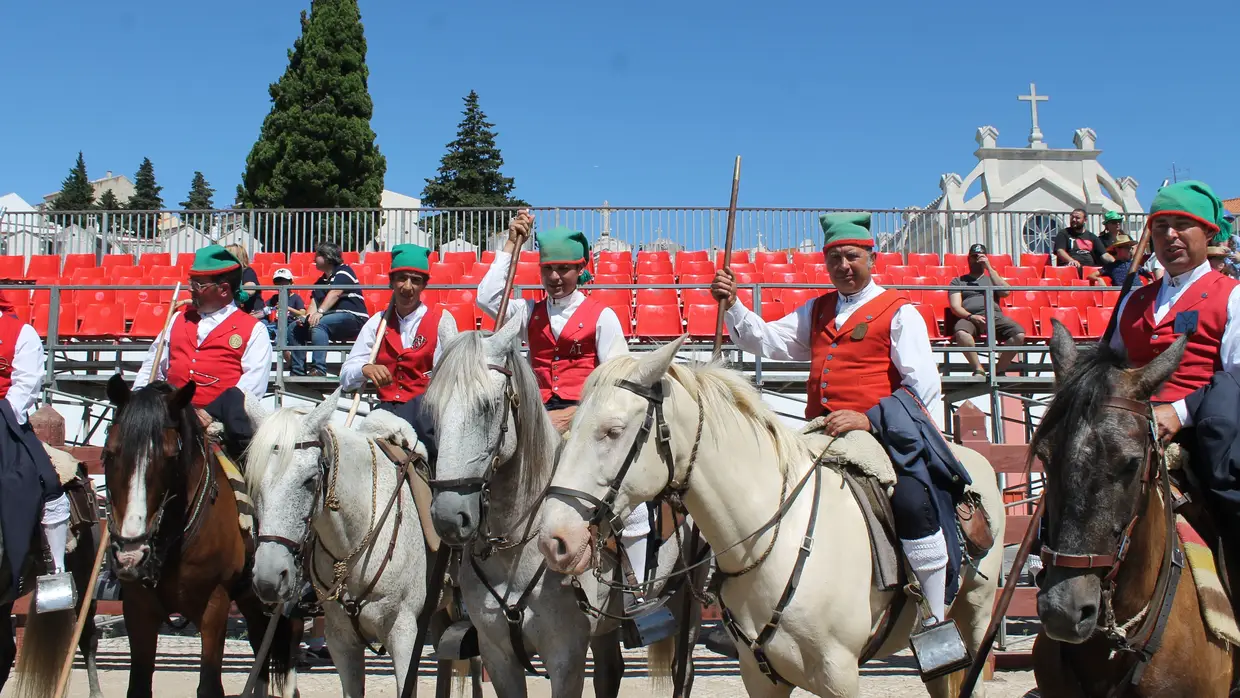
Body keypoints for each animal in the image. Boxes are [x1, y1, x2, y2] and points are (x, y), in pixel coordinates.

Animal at [101, 376, 295, 698]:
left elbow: (209, 686)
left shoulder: (214, 605)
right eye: (109, 454)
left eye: (171, 456)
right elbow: (139, 685)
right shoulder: (138, 608)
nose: (131, 554)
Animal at [424, 317, 699, 698]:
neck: (514, 551)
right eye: (433, 408)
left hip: (689, 597)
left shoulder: (565, 656)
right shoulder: (498, 655)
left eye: (487, 406)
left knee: (682, 670)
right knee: (610, 671)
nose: (449, 517)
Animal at [538, 334, 1001, 694]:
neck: (775, 539)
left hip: (976, 614)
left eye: (613, 431)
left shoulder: (840, 675)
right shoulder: (760, 676)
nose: (553, 540)